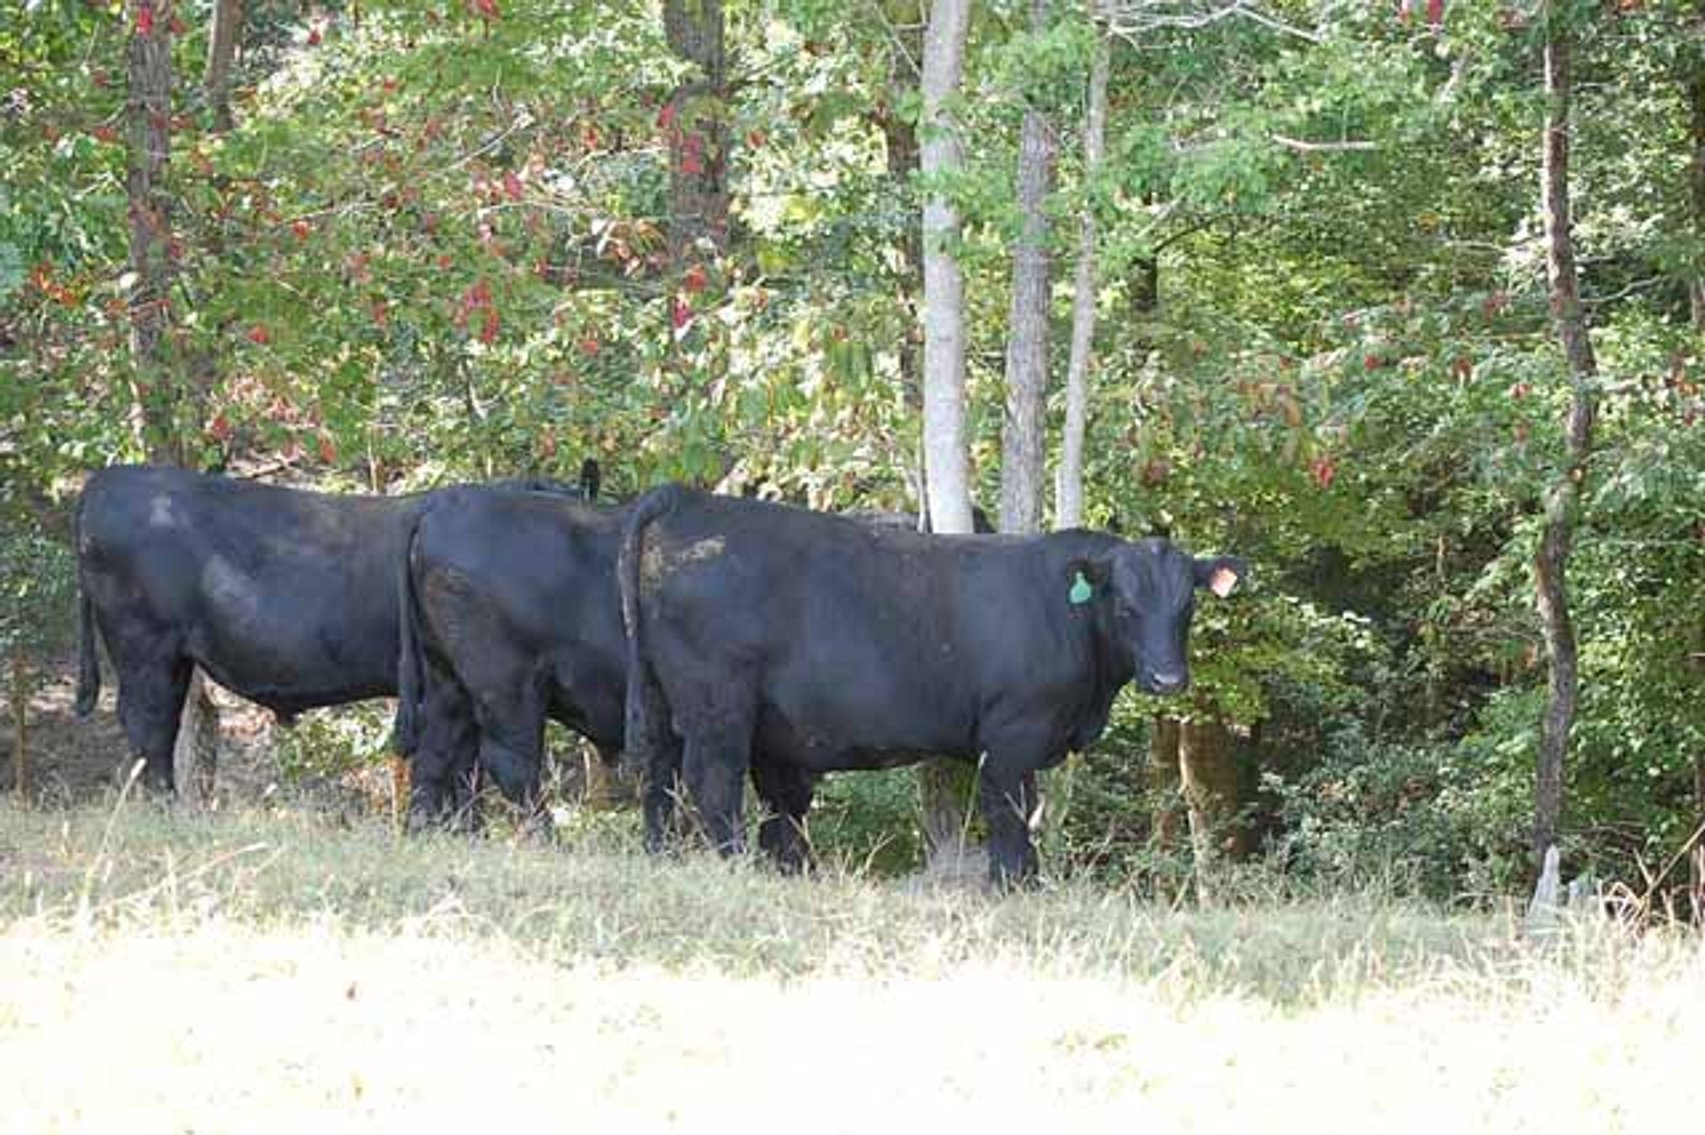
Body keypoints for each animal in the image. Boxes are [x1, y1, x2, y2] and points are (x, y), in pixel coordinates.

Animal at [618, 485, 1244, 887]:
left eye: (1186, 605)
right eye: (1125, 605)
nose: (1168, 678)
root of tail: (687, 497)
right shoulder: (1013, 731)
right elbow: (1009, 809)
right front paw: (1014, 884)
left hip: (660, 697)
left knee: (660, 774)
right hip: (717, 704)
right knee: (713, 780)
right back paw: (732, 863)